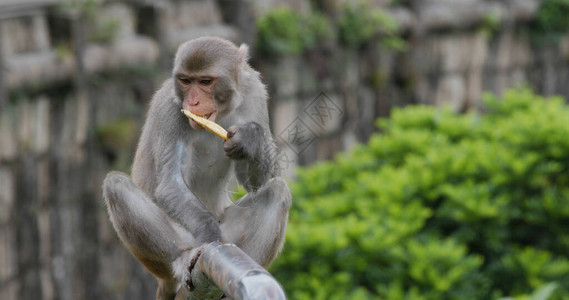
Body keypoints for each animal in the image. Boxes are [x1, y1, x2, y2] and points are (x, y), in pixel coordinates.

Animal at [101, 37, 292, 300]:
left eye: (205, 81)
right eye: (185, 80)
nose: (191, 102)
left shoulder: (255, 93)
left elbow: (256, 183)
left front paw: (250, 138)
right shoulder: (172, 109)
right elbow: (170, 184)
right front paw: (210, 235)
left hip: (231, 233)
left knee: (277, 190)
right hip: (182, 240)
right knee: (116, 185)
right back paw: (181, 260)